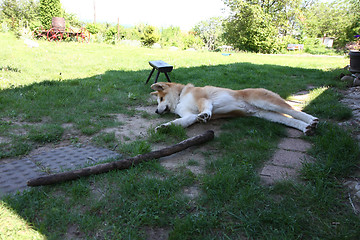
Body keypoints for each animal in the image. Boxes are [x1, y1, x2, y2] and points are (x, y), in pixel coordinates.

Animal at [150, 82, 320, 135]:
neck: (180, 96)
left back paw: (312, 120)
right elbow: (180, 123)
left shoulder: (203, 98)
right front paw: (164, 127)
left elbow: (205, 107)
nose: (156, 111)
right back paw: (307, 128)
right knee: (290, 120)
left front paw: (205, 114)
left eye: (161, 99)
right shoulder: (189, 116)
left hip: (267, 102)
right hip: (267, 114)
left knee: (293, 111)